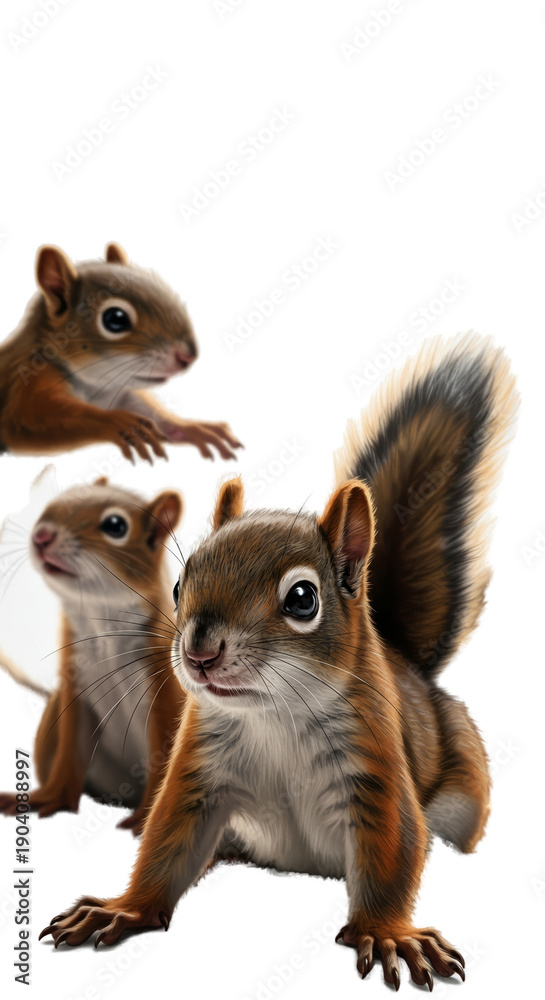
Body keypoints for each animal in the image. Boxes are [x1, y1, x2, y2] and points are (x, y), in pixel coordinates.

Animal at [0, 242, 242, 463]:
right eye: (115, 319)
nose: (187, 357)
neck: (97, 389)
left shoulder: (122, 394)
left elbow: (154, 413)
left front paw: (193, 428)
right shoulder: (27, 383)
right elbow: (26, 420)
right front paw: (118, 422)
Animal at [0, 478, 185, 835]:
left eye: (115, 525)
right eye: (58, 502)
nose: (41, 535)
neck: (101, 625)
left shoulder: (165, 688)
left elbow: (165, 757)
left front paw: (146, 819)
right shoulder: (76, 692)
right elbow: (71, 753)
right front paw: (49, 799)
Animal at [42, 333, 518, 989]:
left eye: (302, 598)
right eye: (179, 584)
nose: (199, 651)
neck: (274, 715)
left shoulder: (375, 766)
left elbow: (394, 846)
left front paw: (388, 934)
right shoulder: (198, 768)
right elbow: (167, 844)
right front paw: (124, 909)